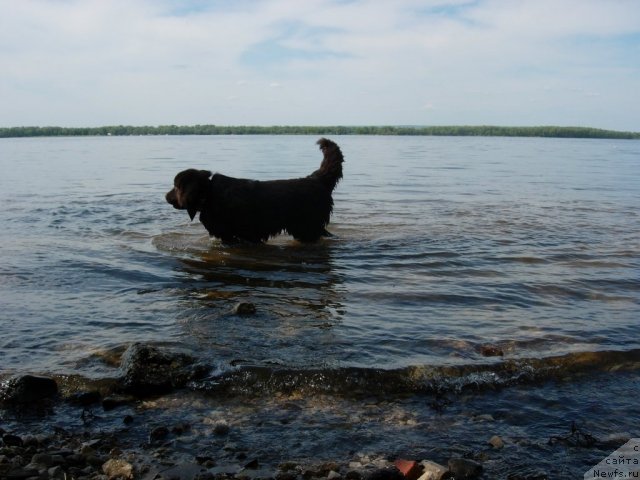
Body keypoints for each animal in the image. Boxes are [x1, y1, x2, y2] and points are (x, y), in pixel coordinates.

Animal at [165, 139, 344, 244]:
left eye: (176, 187)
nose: (165, 196)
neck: (209, 194)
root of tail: (316, 179)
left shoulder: (231, 234)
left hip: (307, 227)